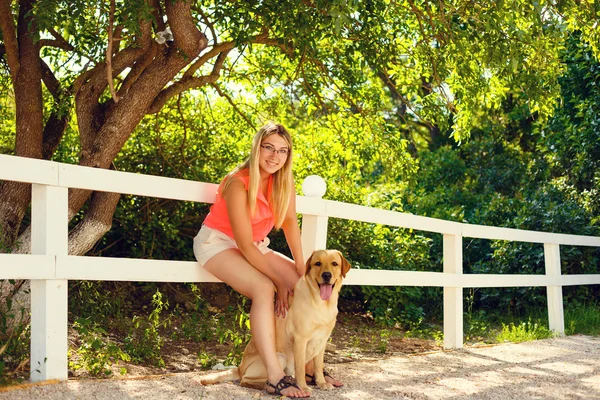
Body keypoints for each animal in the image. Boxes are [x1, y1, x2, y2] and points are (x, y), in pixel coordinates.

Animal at [202, 248, 352, 392]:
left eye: (334, 264)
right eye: (318, 263)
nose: (326, 275)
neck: (322, 304)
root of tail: (240, 367)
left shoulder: (321, 341)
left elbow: (319, 366)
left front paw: (321, 383)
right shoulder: (300, 340)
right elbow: (300, 368)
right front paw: (302, 386)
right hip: (279, 357)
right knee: (246, 381)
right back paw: (275, 385)